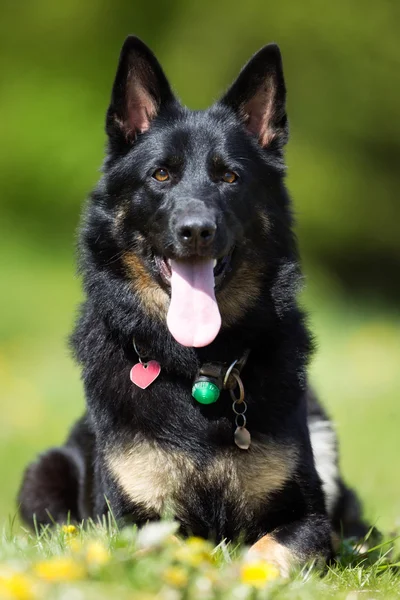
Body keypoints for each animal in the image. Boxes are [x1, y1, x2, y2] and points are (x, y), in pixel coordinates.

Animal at [18, 35, 368, 576]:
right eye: (161, 174)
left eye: (230, 178)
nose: (197, 230)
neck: (197, 371)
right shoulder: (136, 524)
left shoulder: (307, 520)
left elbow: (266, 551)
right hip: (43, 474)